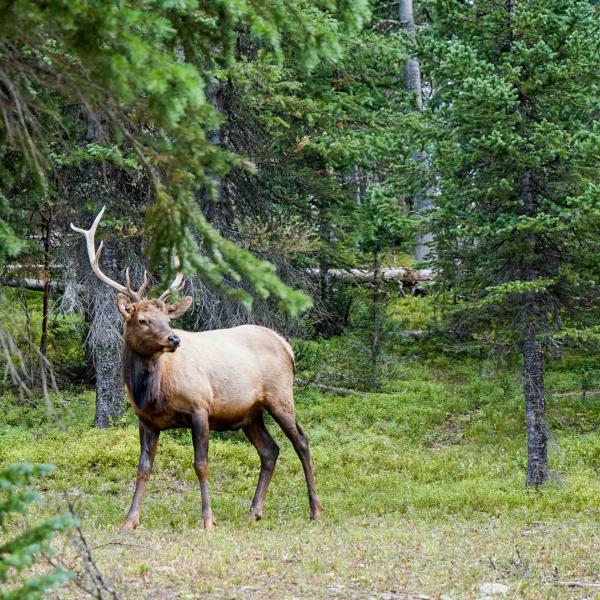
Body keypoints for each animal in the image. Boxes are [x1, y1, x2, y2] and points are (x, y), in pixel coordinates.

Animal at [71, 207, 324, 528]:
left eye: (168, 318)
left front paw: (207, 520)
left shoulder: (200, 407)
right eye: (142, 320)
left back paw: (315, 509)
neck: (150, 391)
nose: (174, 338)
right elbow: (143, 467)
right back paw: (254, 510)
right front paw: (130, 521)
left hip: (280, 396)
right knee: (270, 450)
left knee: (301, 442)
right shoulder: (146, 420)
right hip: (250, 413)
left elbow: (201, 464)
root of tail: (286, 346)